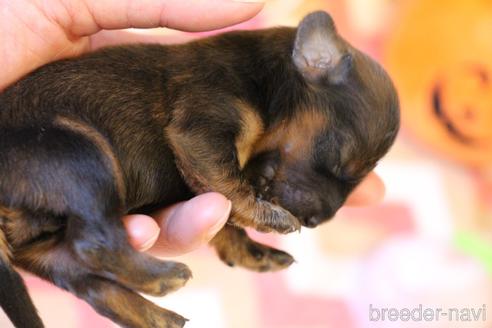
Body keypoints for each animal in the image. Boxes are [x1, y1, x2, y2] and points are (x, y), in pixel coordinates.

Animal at [0, 10, 400, 328]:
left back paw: (158, 316)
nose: (319, 221)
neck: (268, 86)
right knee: (95, 245)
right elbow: (232, 188)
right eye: (338, 158)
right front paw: (271, 218)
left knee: (92, 286)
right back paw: (163, 277)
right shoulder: (200, 131)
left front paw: (253, 253)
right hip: (82, 155)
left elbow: (225, 209)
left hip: (44, 249)